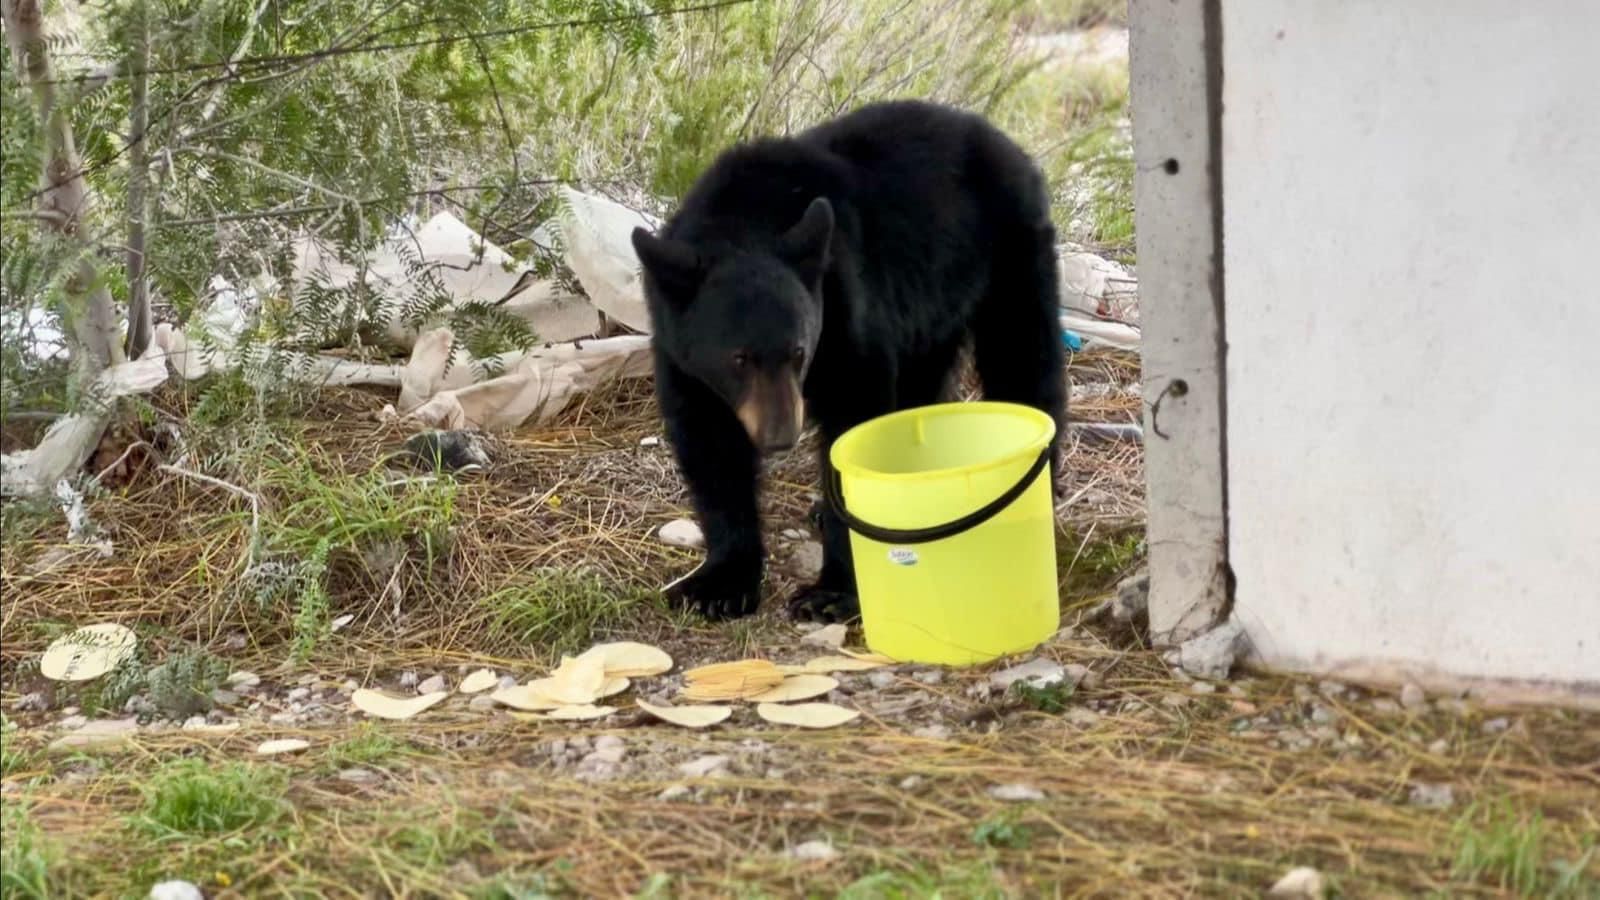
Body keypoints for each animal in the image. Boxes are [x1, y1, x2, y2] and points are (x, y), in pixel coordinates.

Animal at [630, 98, 1065, 623]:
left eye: (798, 351)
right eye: (738, 358)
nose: (779, 436)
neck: (744, 218)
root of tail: (1010, 146)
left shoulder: (844, 307)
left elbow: (851, 423)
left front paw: (831, 591)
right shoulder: (678, 350)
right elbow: (710, 446)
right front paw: (719, 583)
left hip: (1008, 254)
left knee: (1023, 355)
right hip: (933, 304)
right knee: (923, 386)